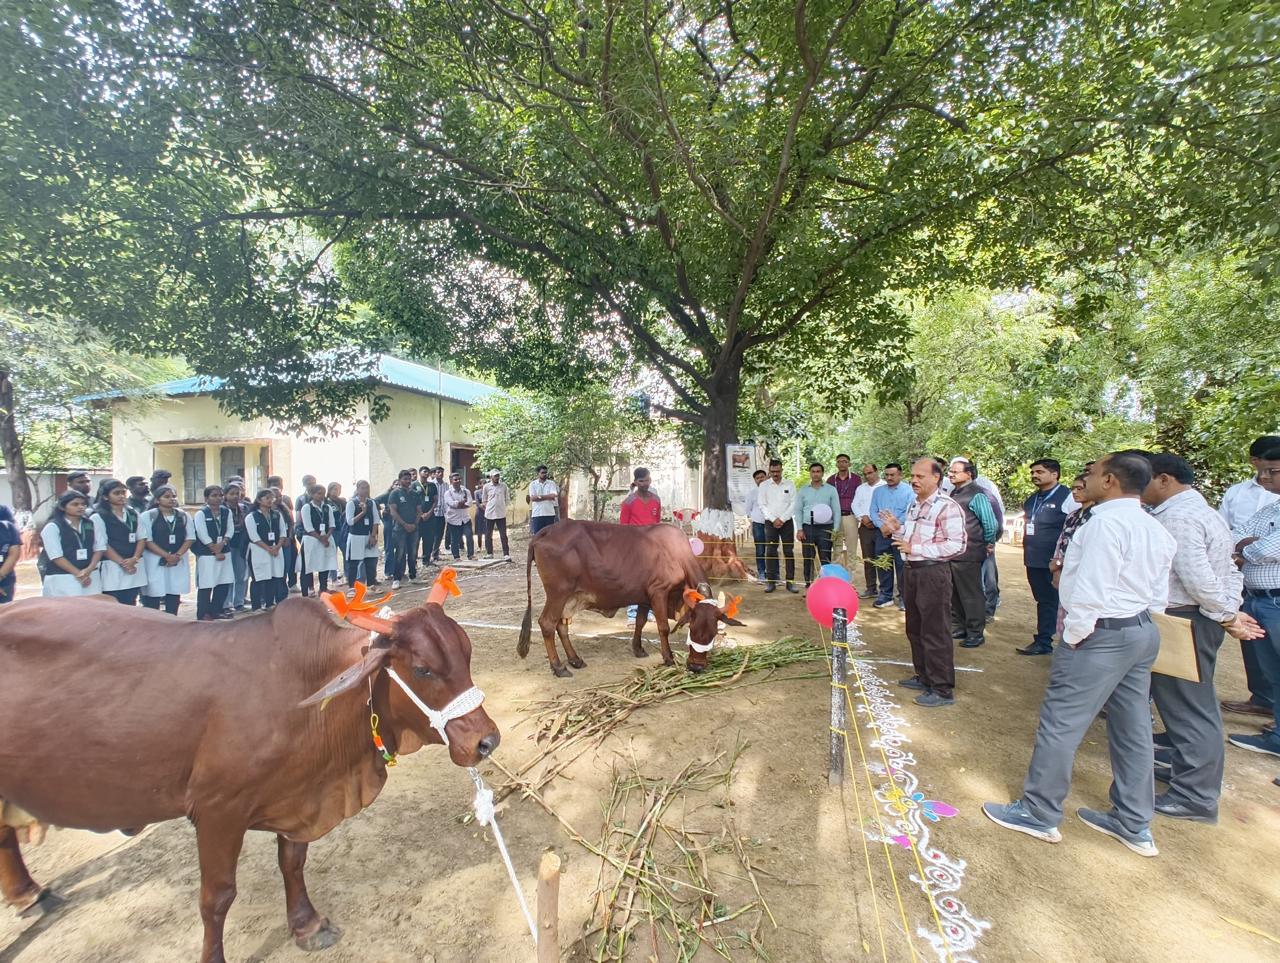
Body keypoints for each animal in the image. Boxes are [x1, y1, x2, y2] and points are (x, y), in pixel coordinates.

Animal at [0, 576, 498, 963]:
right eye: (423, 668)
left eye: (468, 653)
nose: (486, 741)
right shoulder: (217, 810)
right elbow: (217, 897)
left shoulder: (299, 796)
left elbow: (292, 861)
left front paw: (307, 925)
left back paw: (31, 894)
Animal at [517, 519, 742, 676]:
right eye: (692, 629)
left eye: (713, 632)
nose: (696, 666)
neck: (678, 556)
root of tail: (544, 532)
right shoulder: (659, 591)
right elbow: (663, 627)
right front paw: (668, 658)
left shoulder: (644, 597)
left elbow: (640, 622)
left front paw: (638, 648)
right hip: (558, 593)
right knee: (547, 623)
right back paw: (558, 667)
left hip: (569, 598)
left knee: (561, 625)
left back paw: (575, 659)